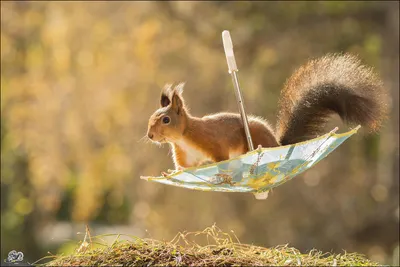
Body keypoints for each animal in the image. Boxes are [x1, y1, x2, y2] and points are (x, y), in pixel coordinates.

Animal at [146, 53, 388, 171]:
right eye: (151, 118)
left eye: (166, 120)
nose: (150, 136)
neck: (184, 137)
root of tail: (277, 144)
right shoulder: (185, 155)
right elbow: (184, 167)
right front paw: (173, 173)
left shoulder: (213, 141)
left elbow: (221, 157)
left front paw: (220, 170)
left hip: (255, 135)